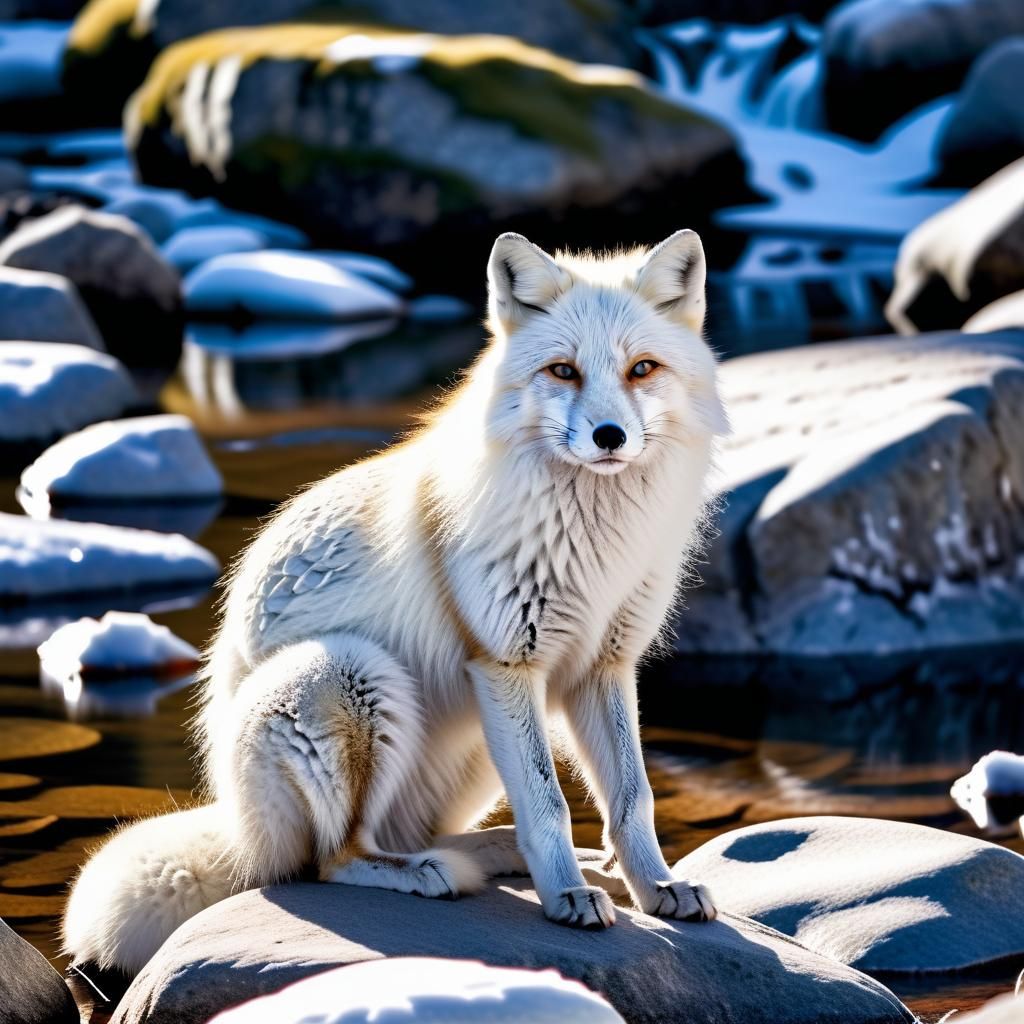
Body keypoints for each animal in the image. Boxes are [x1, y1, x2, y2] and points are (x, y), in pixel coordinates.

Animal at [63, 229, 729, 974]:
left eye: (642, 369)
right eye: (563, 371)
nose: (609, 437)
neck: (594, 542)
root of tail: (238, 830)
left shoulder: (601, 665)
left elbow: (632, 799)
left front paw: (657, 886)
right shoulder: (507, 664)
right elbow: (549, 802)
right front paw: (568, 900)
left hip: (470, 742)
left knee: (419, 834)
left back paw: (503, 856)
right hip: (350, 676)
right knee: (331, 859)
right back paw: (430, 874)